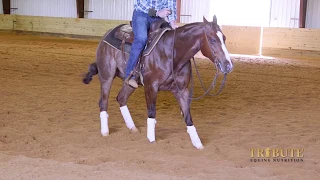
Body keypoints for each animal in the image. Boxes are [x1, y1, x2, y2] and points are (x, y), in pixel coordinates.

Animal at [82, 15, 232, 149]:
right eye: (212, 39)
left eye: (224, 38)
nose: (228, 65)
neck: (172, 54)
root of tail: (107, 34)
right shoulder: (151, 87)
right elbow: (152, 112)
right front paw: (151, 139)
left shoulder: (182, 90)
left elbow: (188, 116)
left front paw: (198, 144)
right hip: (106, 76)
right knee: (103, 102)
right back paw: (105, 132)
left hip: (130, 83)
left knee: (121, 98)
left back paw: (133, 128)